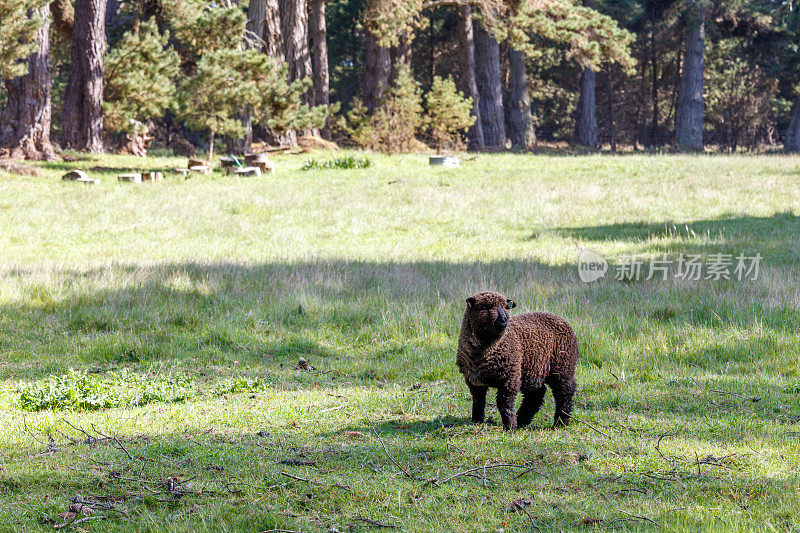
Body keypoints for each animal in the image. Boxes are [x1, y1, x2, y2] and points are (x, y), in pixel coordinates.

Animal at [456, 290, 576, 428]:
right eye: (484, 307)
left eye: (505, 307)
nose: (503, 320)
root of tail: (562, 319)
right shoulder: (474, 381)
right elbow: (478, 402)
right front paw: (476, 421)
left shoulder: (509, 377)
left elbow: (504, 403)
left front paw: (510, 426)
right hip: (533, 369)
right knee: (536, 395)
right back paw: (522, 421)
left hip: (562, 366)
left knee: (565, 392)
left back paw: (560, 422)